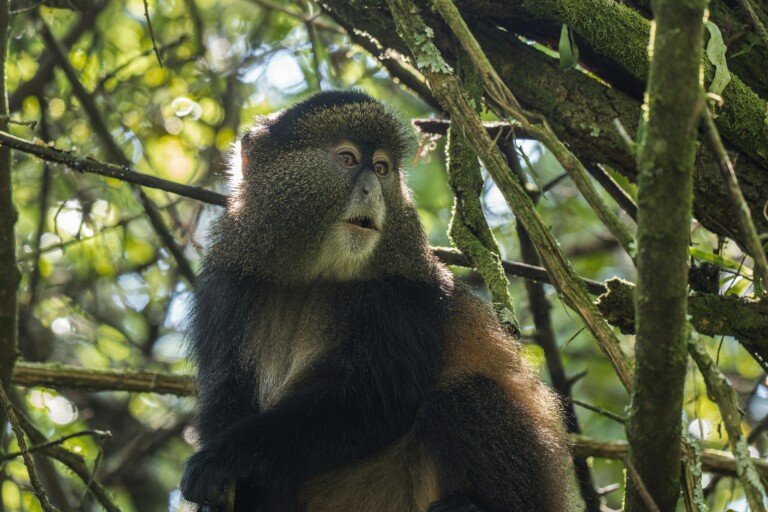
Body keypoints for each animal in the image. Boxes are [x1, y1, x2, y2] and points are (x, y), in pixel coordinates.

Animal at [180, 90, 576, 512]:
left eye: (382, 168)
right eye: (348, 159)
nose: (372, 189)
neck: (313, 276)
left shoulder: (399, 295)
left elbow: (381, 395)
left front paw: (223, 459)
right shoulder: (227, 286)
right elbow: (228, 387)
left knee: (464, 395)